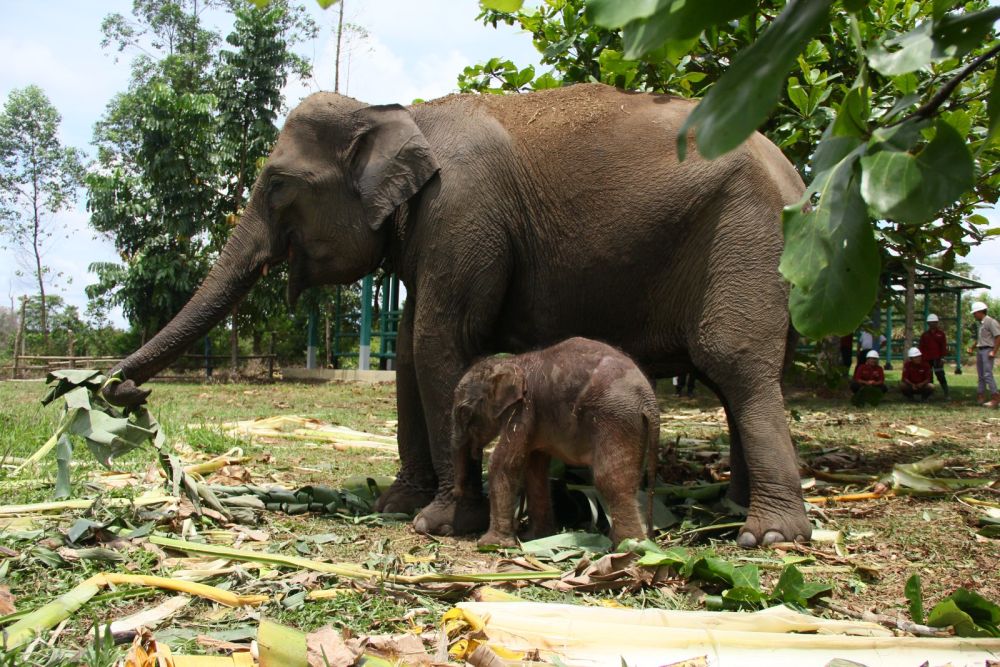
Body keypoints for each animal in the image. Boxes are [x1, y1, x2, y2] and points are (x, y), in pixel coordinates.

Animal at [452, 340, 656, 548]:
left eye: (464, 412)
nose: (455, 493)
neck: (512, 360)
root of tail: (648, 399)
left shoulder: (524, 409)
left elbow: (502, 463)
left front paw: (491, 544)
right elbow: (535, 468)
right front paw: (536, 536)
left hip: (615, 418)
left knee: (609, 479)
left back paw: (629, 547)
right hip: (632, 424)